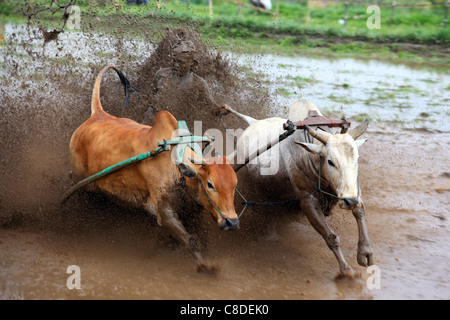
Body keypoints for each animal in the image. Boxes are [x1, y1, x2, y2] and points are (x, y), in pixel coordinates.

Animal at [68, 66, 239, 272]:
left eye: (234, 185)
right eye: (210, 184)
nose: (232, 221)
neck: (177, 169)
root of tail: (97, 114)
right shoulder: (164, 213)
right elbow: (191, 240)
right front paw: (204, 266)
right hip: (80, 180)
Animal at [227, 100, 374, 278]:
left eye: (357, 158)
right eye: (330, 161)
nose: (349, 201)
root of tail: (253, 123)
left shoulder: (353, 189)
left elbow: (359, 211)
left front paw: (365, 252)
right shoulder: (307, 201)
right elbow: (331, 237)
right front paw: (346, 270)